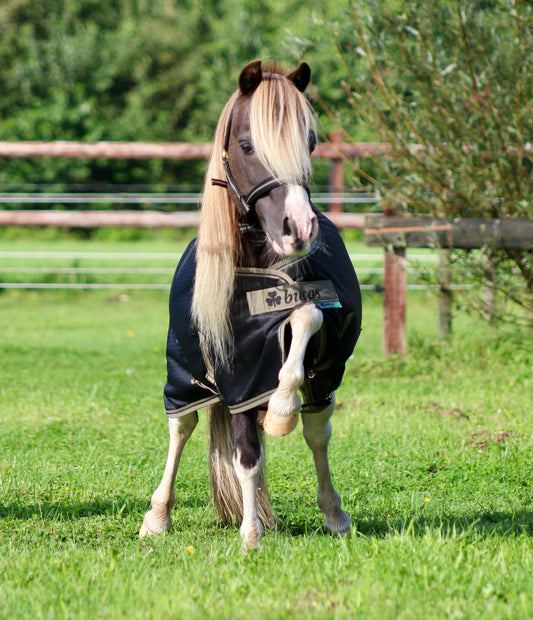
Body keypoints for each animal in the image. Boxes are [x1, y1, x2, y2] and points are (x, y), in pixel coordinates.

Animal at [139, 60, 362, 548]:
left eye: (310, 141)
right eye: (246, 145)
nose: (299, 228)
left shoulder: (315, 357)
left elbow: (306, 319)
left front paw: (282, 412)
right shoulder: (238, 377)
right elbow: (245, 456)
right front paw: (250, 535)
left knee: (313, 431)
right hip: (184, 375)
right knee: (181, 426)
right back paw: (158, 516)